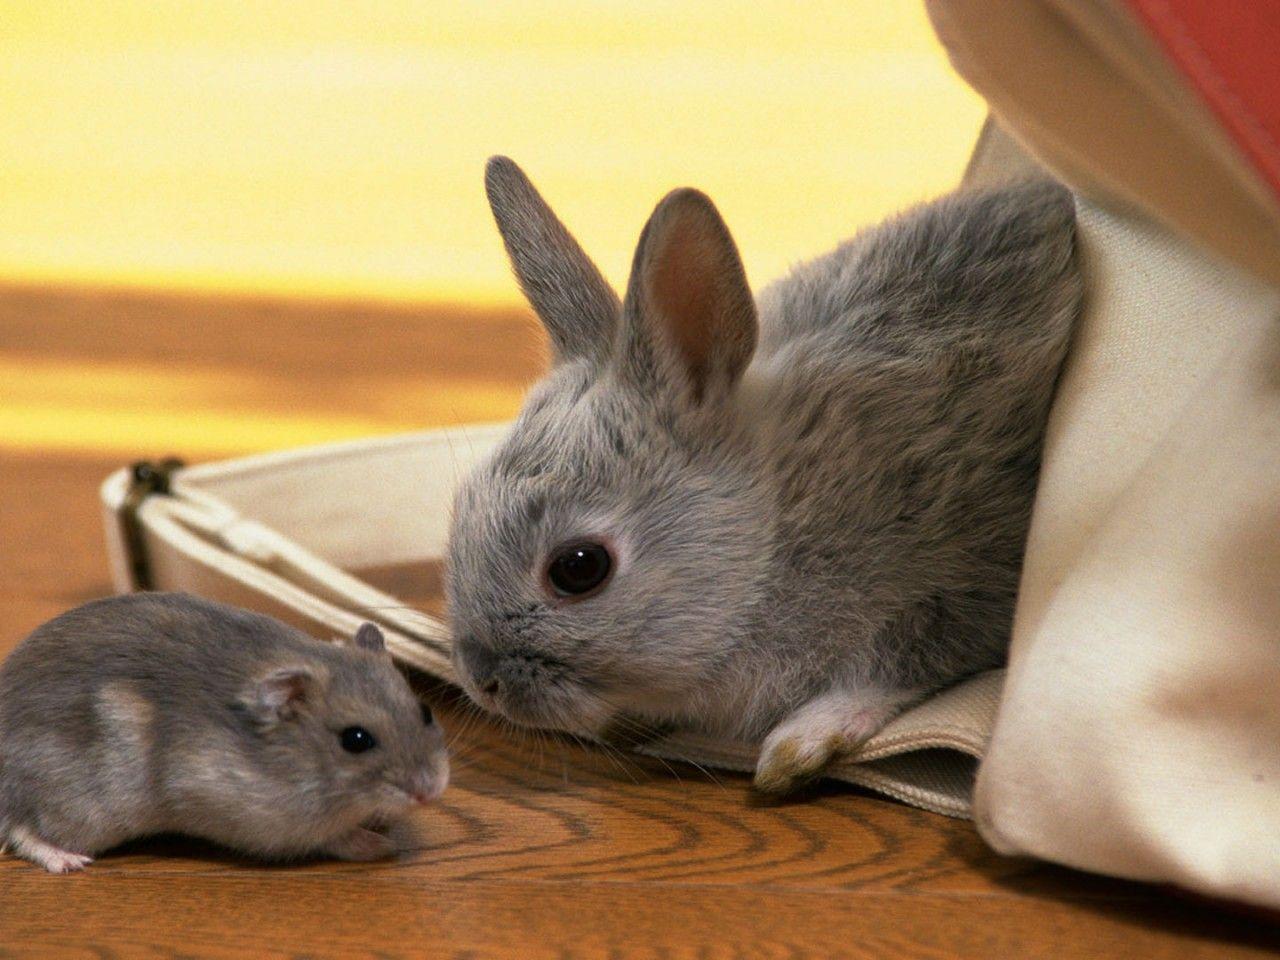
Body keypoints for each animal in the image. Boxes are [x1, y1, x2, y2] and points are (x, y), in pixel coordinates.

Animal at [0, 592, 448, 873]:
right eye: (356, 740)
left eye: (425, 712)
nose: (431, 792)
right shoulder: (263, 822)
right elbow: (330, 837)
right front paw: (380, 845)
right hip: (80, 808)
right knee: (22, 829)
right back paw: (69, 862)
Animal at [445, 158, 1081, 794]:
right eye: (461, 507)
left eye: (579, 568)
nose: (483, 682)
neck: (774, 533)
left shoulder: (961, 570)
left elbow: (896, 667)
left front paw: (798, 746)